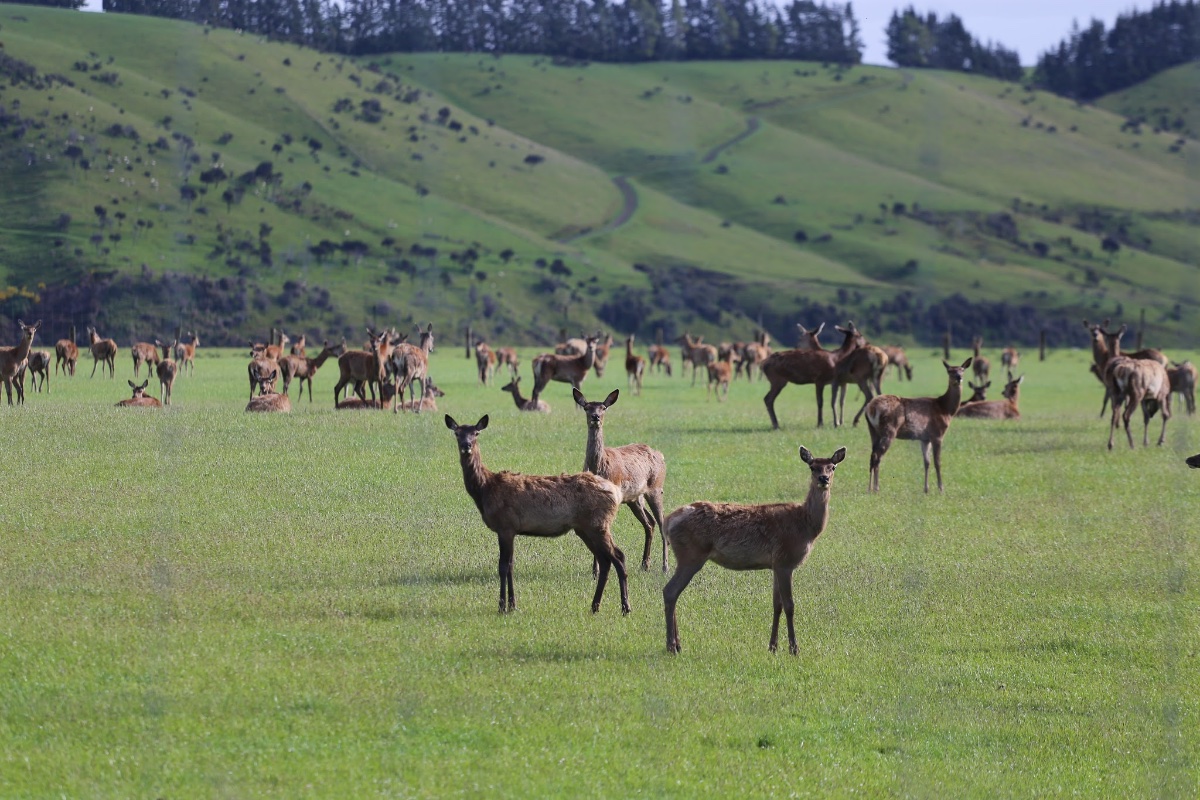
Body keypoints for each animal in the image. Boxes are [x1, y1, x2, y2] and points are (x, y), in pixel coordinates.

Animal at [445, 414, 629, 614]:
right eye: (457, 433)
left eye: (476, 433)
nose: (466, 445)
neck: (485, 489)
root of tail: (616, 493)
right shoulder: (511, 530)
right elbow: (511, 565)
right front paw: (513, 604)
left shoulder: (505, 525)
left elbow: (503, 566)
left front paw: (501, 606)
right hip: (585, 528)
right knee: (605, 560)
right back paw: (595, 606)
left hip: (598, 523)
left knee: (618, 556)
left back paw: (625, 607)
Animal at [573, 388, 669, 574]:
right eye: (586, 407)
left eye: (603, 407)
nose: (595, 416)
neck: (600, 466)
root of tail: (660, 455)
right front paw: (594, 571)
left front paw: (599, 569)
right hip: (635, 498)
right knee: (650, 523)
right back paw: (645, 564)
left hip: (656, 488)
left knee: (662, 522)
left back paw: (665, 566)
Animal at [663, 445, 846, 655]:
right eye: (812, 467)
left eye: (832, 467)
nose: (824, 479)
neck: (806, 526)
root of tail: (668, 521)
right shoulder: (785, 560)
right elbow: (790, 605)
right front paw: (794, 648)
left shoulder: (776, 564)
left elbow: (777, 605)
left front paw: (773, 647)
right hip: (691, 555)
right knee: (670, 591)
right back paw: (671, 645)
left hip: (687, 556)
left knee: (674, 593)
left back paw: (677, 644)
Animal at [865, 358, 973, 493]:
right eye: (949, 371)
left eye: (962, 369)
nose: (959, 377)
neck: (945, 409)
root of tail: (870, 409)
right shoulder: (937, 434)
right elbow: (937, 462)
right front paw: (941, 488)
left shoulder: (924, 438)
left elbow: (926, 462)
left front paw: (926, 489)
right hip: (889, 429)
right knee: (878, 456)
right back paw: (876, 488)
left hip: (873, 430)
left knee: (872, 455)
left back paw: (869, 488)